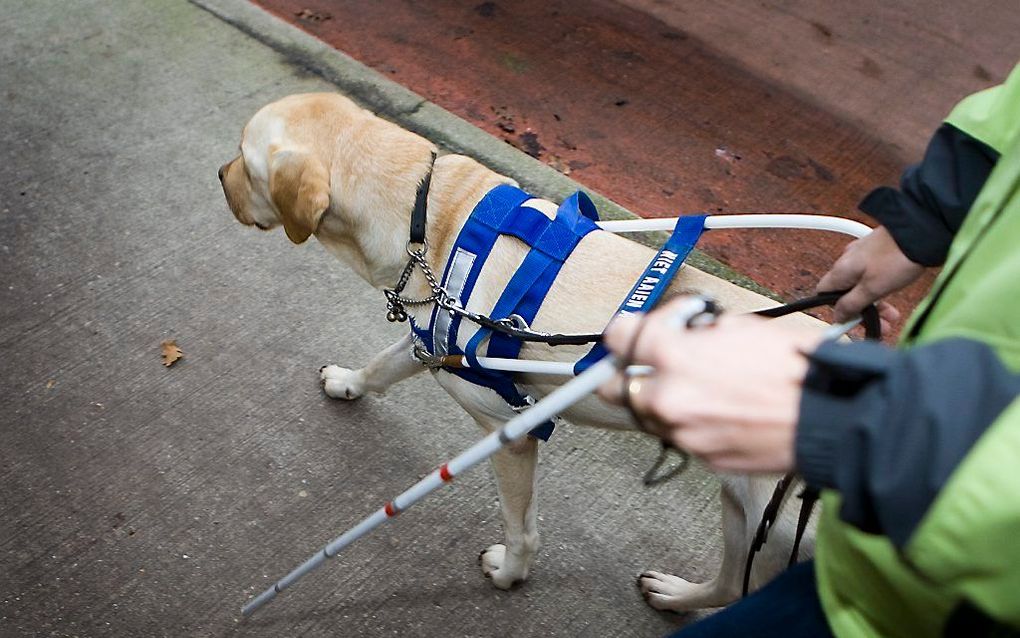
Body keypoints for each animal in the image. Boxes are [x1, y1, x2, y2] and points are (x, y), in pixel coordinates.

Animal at [217, 91, 820, 608]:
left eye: (244, 158)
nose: (219, 176)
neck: (428, 216)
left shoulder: (510, 432)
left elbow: (522, 530)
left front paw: (510, 573)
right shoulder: (428, 341)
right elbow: (380, 366)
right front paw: (347, 382)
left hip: (773, 532)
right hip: (742, 511)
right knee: (729, 585)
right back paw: (676, 595)